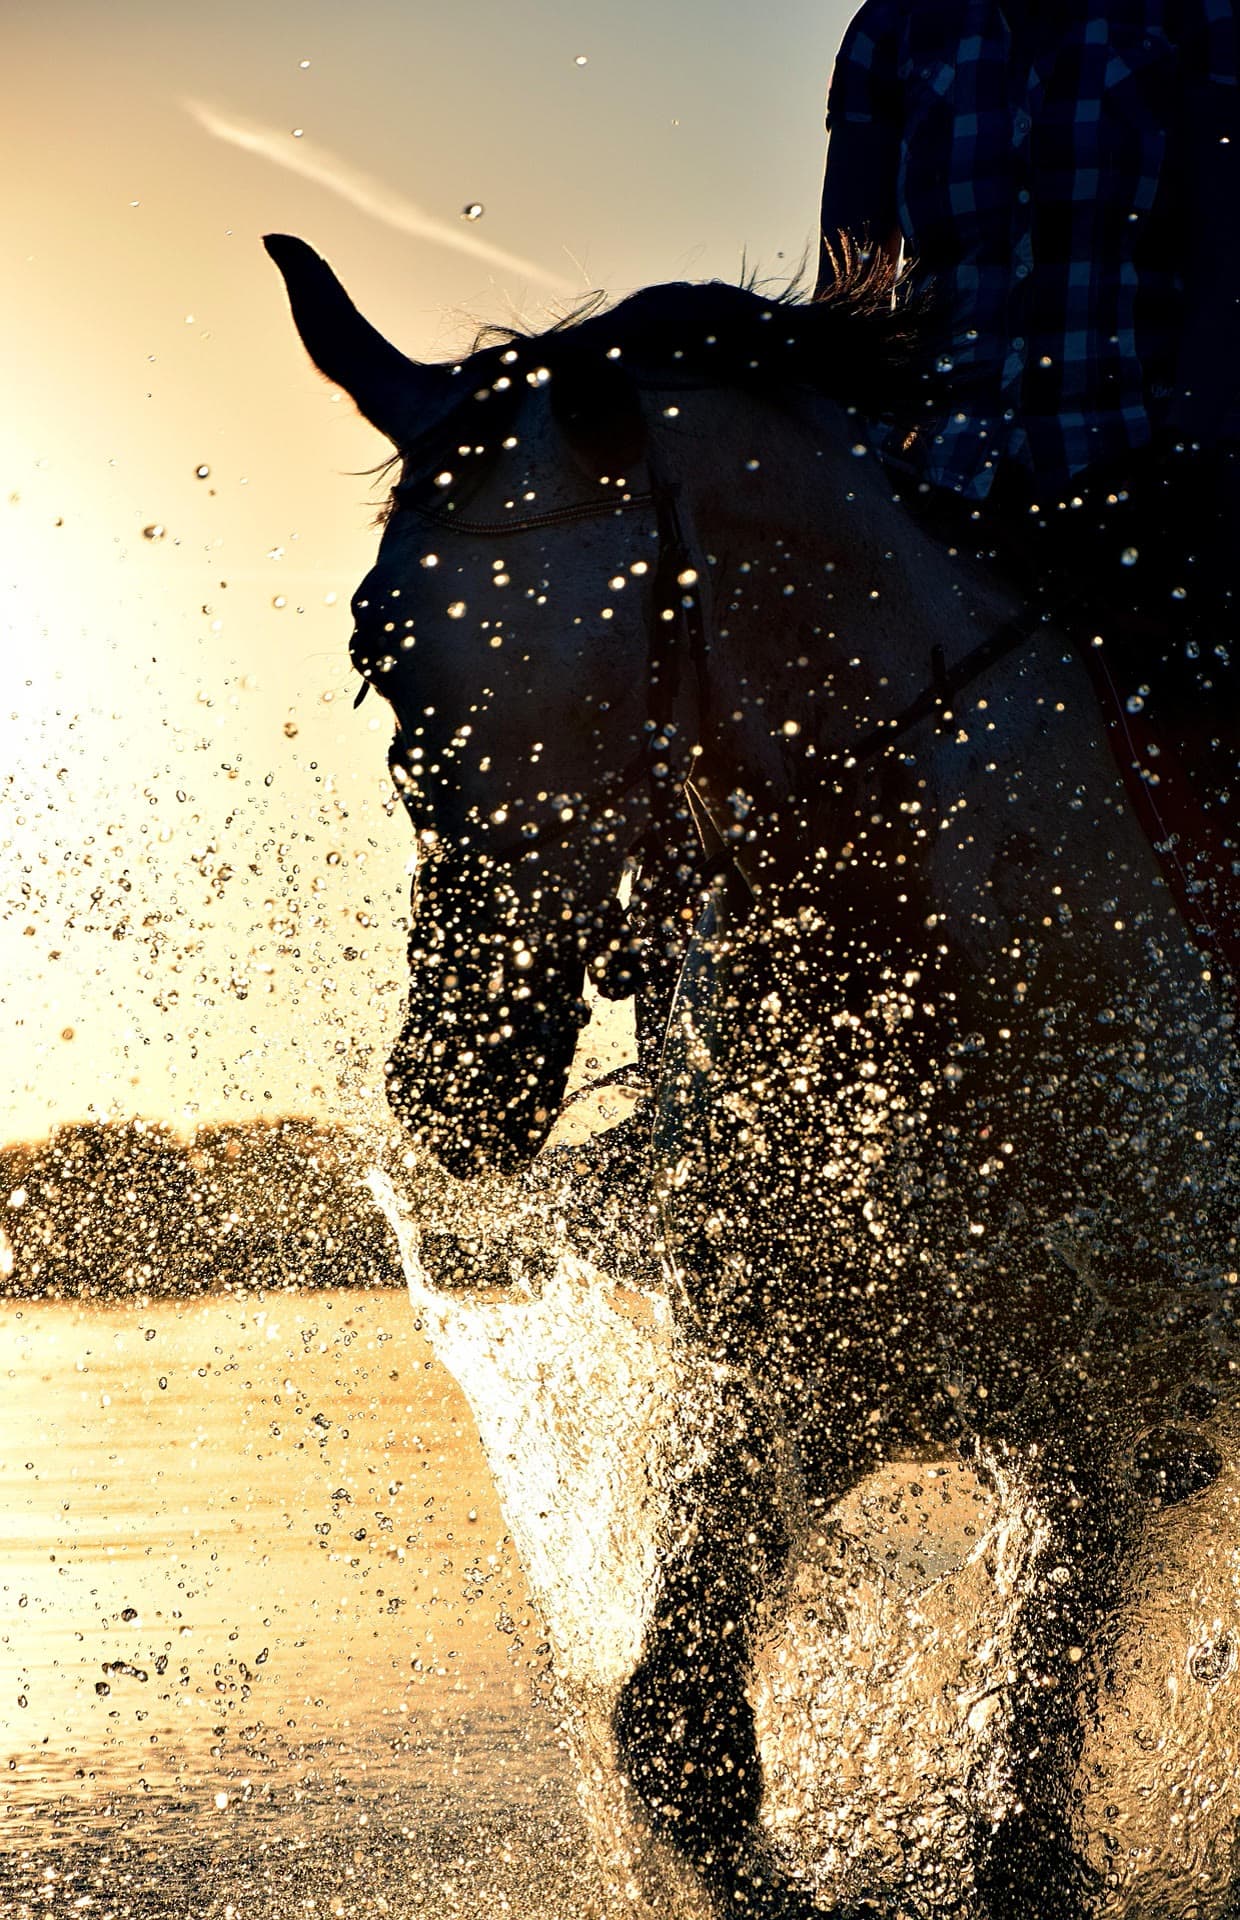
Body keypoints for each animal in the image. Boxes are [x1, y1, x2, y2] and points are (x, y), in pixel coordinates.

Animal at [267, 233, 1240, 1918]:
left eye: (624, 619)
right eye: (380, 642)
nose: (451, 1077)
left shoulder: (1114, 1400)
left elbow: (1023, 1780)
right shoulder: (813, 1368)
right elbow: (679, 1736)